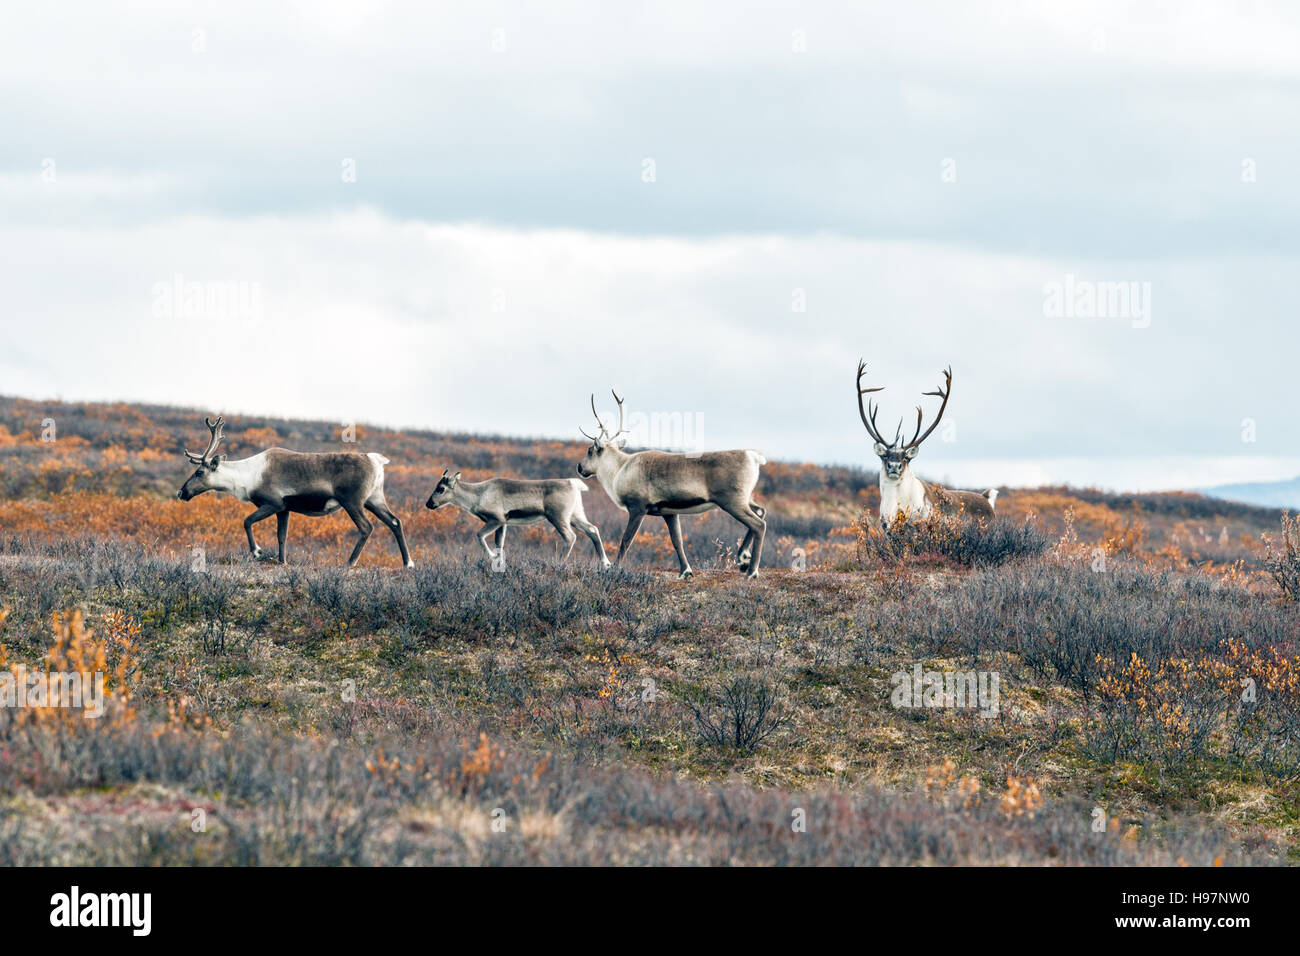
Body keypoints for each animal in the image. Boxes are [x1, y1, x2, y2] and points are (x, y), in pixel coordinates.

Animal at [175, 416, 410, 567]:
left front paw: (257, 551)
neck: (246, 476)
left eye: (199, 472)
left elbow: (247, 521)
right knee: (395, 522)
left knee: (366, 527)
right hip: (374, 499)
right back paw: (408, 563)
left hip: (352, 501)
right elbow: (282, 536)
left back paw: (350, 563)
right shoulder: (284, 509)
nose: (181, 492)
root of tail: (377, 461)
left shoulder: (274, 503)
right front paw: (282, 561)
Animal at [423, 470, 611, 567]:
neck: (478, 495)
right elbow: (500, 544)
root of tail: (574, 483)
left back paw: (559, 563)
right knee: (593, 530)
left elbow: (479, 535)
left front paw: (492, 557)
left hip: (558, 517)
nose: (429, 503)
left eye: (441, 488)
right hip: (575, 515)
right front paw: (499, 562)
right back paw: (605, 563)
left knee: (571, 537)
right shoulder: (503, 524)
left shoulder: (496, 519)